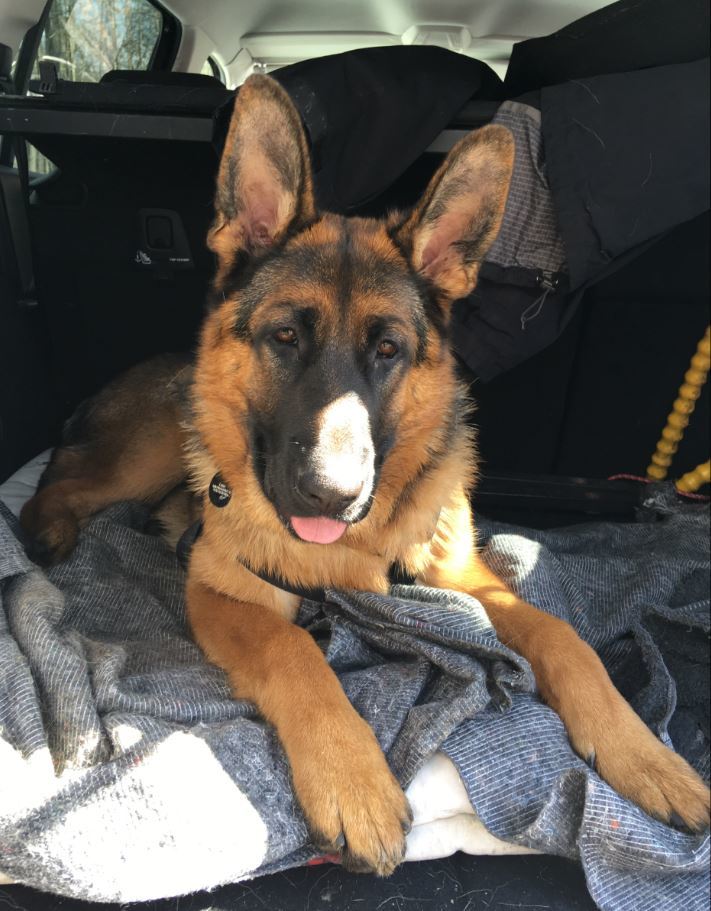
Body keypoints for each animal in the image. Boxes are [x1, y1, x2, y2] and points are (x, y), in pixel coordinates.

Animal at [21, 74, 709, 875]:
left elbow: (559, 634)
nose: (333, 496)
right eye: (285, 335)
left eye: (388, 350)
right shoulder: (223, 590)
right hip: (152, 448)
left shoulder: (467, 579)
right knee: (67, 474)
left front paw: (644, 755)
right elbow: (292, 651)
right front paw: (353, 781)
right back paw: (46, 526)